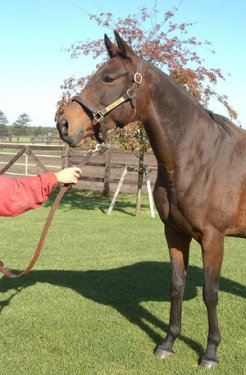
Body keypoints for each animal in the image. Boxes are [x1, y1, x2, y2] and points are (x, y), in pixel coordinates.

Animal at [56, 30, 246, 370]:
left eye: (108, 78)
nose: (64, 124)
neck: (199, 158)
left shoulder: (214, 238)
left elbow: (210, 293)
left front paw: (210, 352)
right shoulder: (175, 233)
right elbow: (176, 286)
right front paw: (168, 343)